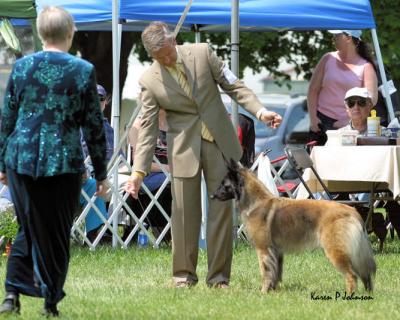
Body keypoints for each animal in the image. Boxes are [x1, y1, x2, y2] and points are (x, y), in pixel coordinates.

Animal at [211, 161, 376, 294]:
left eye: (224, 185)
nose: (212, 196)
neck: (256, 203)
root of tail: (352, 211)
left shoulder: (263, 250)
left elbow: (266, 273)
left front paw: (263, 293)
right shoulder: (276, 252)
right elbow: (275, 274)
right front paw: (273, 291)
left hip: (335, 251)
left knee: (352, 275)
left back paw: (349, 295)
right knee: (364, 274)